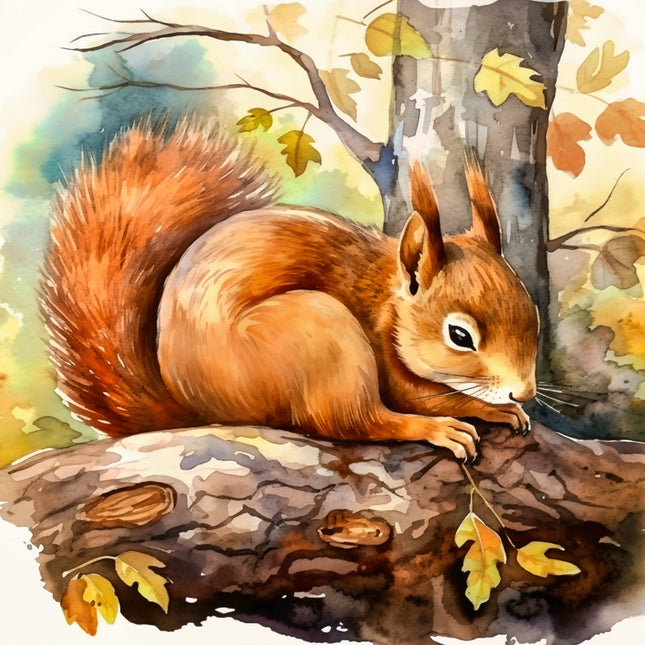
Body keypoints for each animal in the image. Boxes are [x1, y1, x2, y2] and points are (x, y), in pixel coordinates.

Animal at [41, 116, 538, 461]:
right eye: (459, 336)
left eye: (533, 315)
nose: (525, 393)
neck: (388, 298)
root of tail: (202, 408)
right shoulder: (382, 347)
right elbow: (425, 396)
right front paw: (485, 409)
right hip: (319, 331)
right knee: (352, 420)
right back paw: (432, 430)